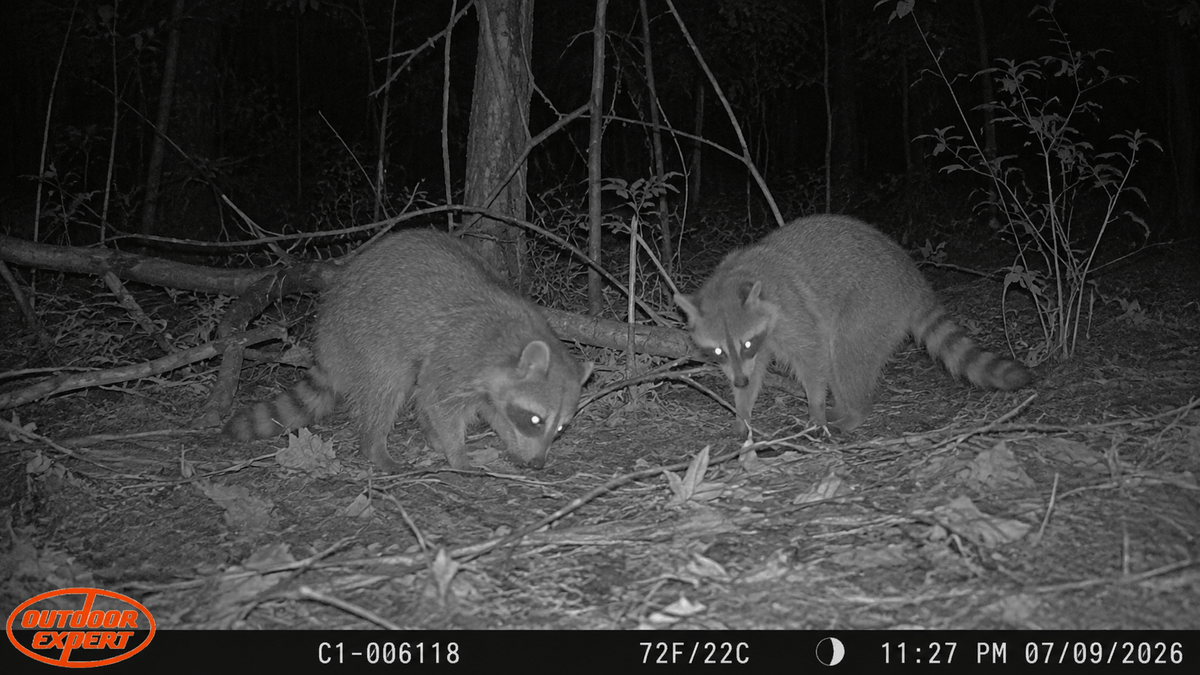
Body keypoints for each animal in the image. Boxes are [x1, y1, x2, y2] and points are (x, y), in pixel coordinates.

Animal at [225, 229, 592, 472]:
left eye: (561, 428)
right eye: (536, 419)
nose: (538, 463)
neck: (517, 338)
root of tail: (327, 331)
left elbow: (489, 408)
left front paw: (509, 441)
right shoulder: (461, 351)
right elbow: (438, 400)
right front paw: (457, 453)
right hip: (366, 334)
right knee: (389, 386)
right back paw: (376, 446)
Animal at [675, 214, 1031, 437]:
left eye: (745, 342)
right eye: (718, 351)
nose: (739, 380)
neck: (735, 277)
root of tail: (915, 282)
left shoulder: (791, 313)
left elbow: (812, 354)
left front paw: (815, 408)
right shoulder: (758, 344)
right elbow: (757, 372)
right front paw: (742, 411)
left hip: (872, 306)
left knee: (844, 353)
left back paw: (854, 413)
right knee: (839, 363)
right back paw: (842, 407)